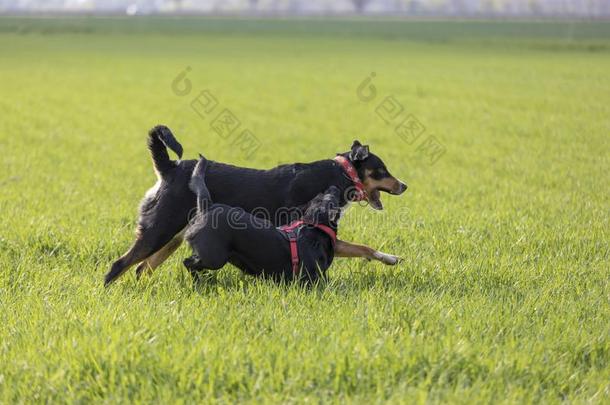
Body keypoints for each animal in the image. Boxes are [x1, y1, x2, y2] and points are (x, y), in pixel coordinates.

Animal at [183, 155, 340, 284]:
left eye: (322, 194)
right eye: (331, 198)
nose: (333, 187)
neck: (315, 225)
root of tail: (207, 207)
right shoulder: (312, 279)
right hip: (214, 257)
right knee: (187, 262)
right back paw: (198, 281)